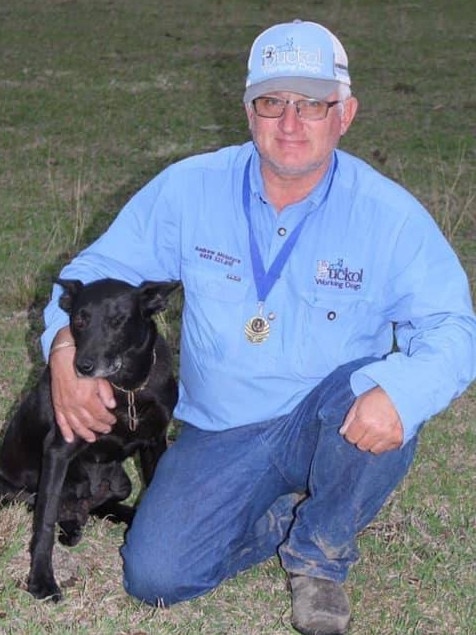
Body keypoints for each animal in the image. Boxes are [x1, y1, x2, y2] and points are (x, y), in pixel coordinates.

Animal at [0, 278, 178, 600]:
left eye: (118, 321)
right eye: (80, 320)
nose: (83, 366)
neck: (127, 389)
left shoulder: (155, 443)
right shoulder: (58, 449)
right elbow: (44, 521)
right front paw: (41, 580)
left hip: (121, 483)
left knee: (102, 504)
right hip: (15, 492)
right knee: (51, 507)